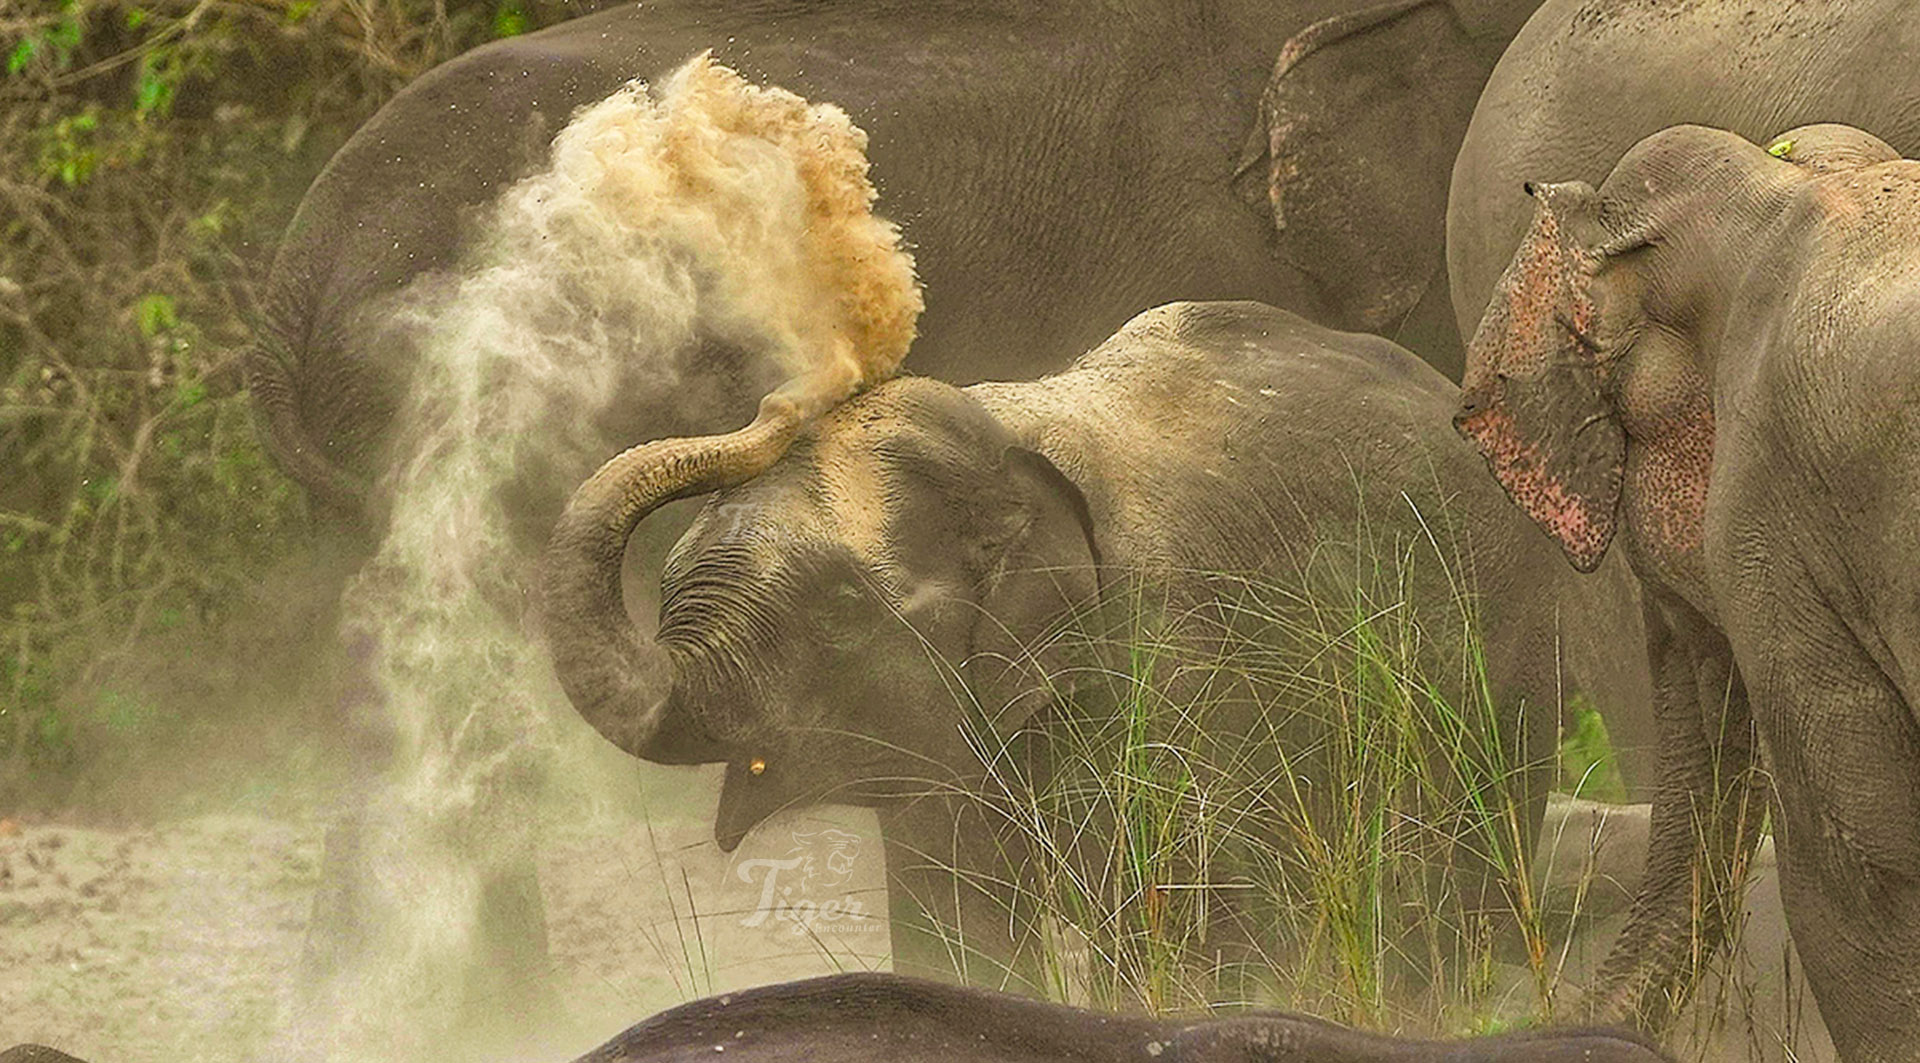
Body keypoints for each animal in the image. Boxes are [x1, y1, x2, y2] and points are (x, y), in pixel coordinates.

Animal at [539, 300, 1651, 987]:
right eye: (675, 580)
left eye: (845, 610)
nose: (780, 400)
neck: (1000, 438)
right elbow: (961, 939)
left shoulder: (1172, 669)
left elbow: (1206, 919)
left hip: (1508, 635)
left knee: (1454, 874)